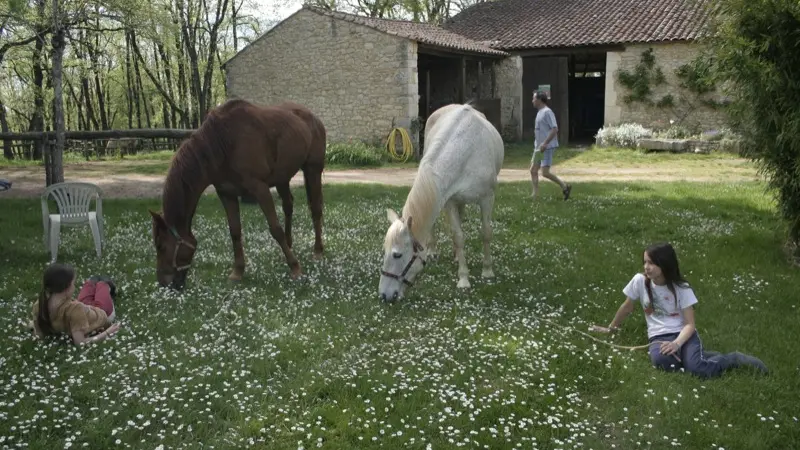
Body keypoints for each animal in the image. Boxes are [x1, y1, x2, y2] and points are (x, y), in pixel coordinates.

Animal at [148, 98, 326, 288]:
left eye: (161, 246)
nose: (163, 283)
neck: (223, 142)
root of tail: (314, 118)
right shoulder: (226, 194)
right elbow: (235, 231)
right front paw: (238, 271)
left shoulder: (260, 189)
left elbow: (275, 229)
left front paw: (295, 267)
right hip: (282, 178)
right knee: (288, 206)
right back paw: (289, 246)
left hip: (312, 170)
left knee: (315, 209)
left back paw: (317, 251)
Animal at [380, 103, 504, 302]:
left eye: (397, 255)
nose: (384, 295)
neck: (466, 152)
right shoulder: (450, 201)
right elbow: (458, 236)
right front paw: (463, 278)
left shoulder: (487, 199)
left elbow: (486, 232)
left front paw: (487, 271)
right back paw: (434, 252)